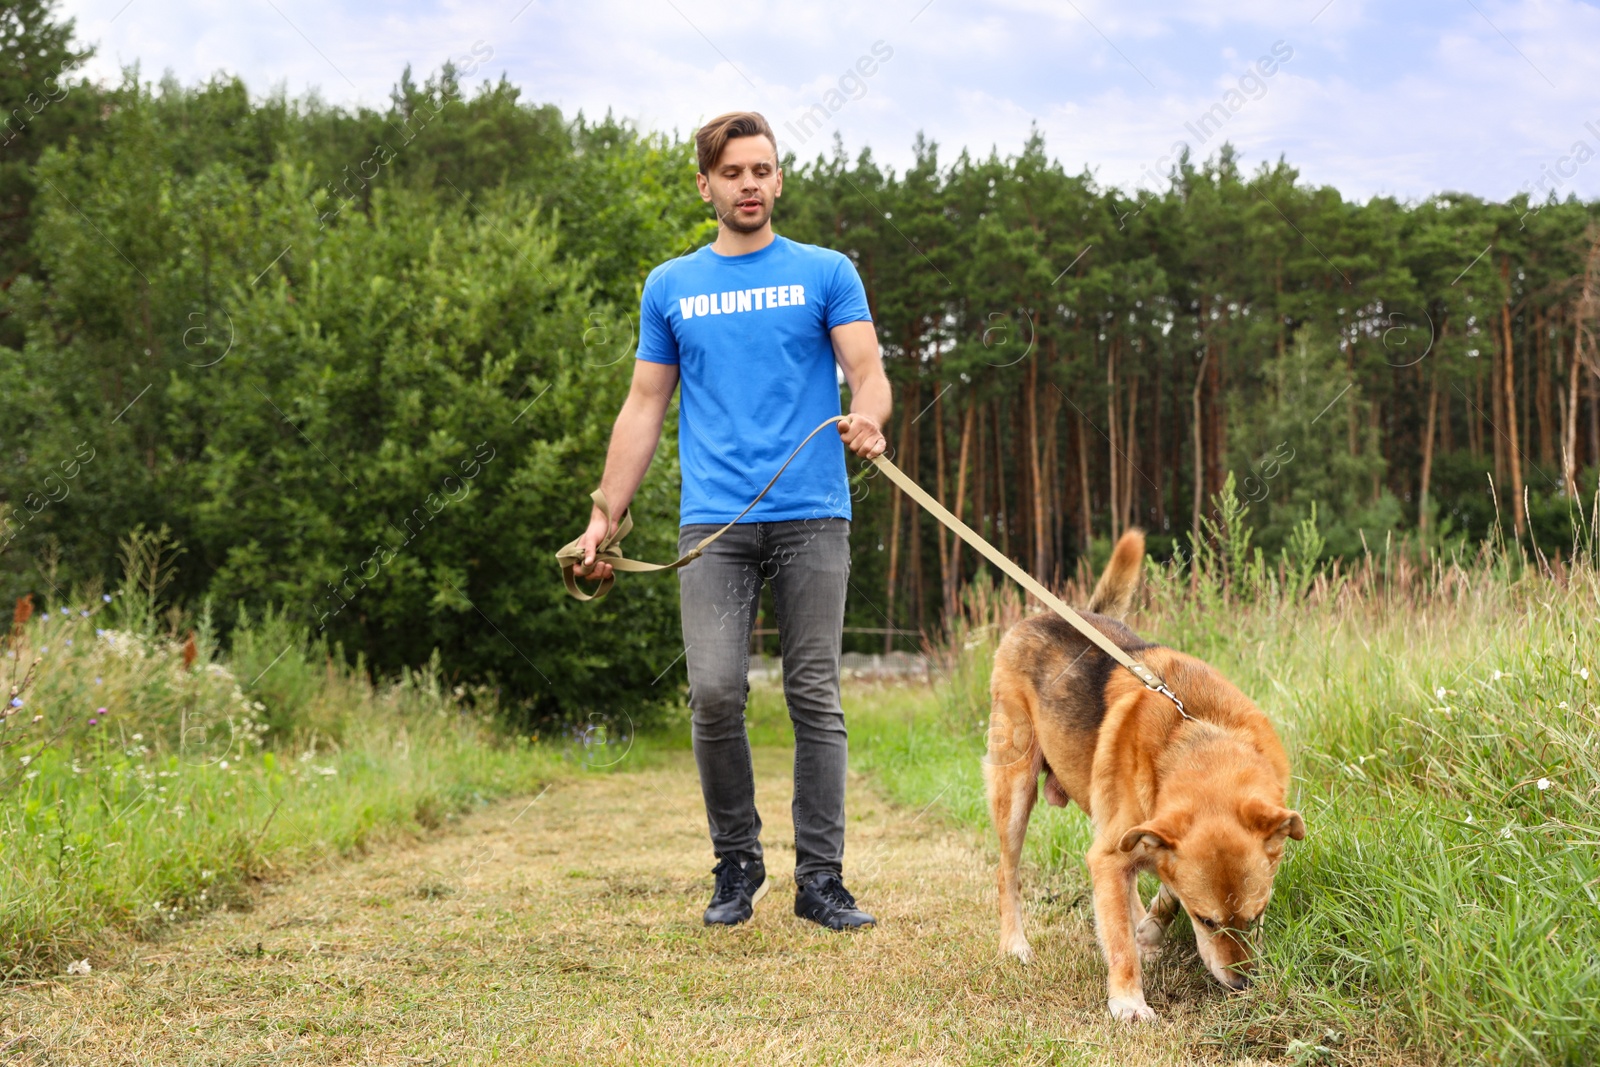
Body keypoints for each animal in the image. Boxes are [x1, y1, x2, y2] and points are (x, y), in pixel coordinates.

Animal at [979, 531, 1305, 1023]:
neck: (1198, 735)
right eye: (1206, 920)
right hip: (1015, 792)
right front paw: (1129, 1001)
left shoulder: (1144, 837)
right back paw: (1014, 944)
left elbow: (1162, 887)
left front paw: (1149, 929)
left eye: (1258, 915)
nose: (1242, 985)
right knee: (1007, 875)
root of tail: (1050, 614)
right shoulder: (1110, 855)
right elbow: (1118, 941)